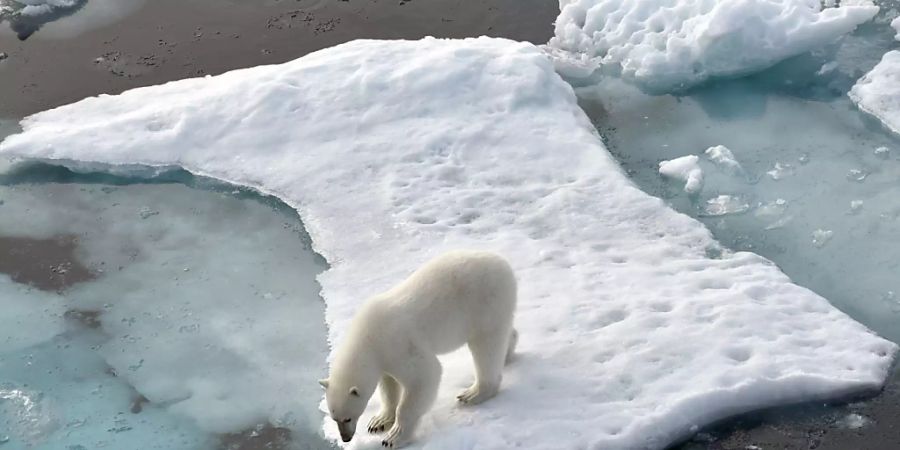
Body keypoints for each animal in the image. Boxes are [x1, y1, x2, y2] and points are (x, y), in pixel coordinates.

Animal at [318, 250, 516, 446]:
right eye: (334, 418)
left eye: (347, 418)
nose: (346, 438)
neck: (368, 336)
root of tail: (503, 264)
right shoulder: (384, 357)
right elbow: (389, 386)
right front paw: (379, 422)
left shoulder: (398, 344)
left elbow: (424, 376)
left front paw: (393, 437)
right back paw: (508, 352)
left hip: (485, 302)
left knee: (486, 346)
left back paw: (473, 393)